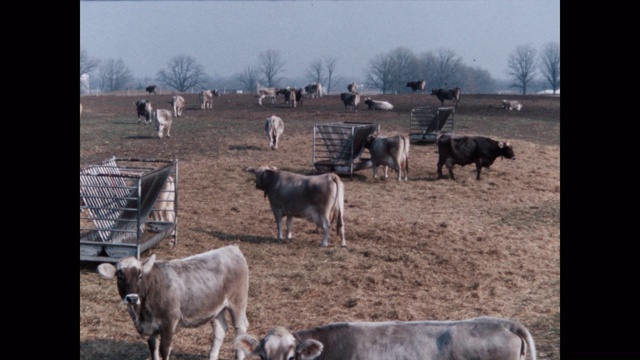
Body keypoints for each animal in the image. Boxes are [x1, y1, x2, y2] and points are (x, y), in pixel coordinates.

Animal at [97, 246, 250, 360]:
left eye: (140, 275)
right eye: (120, 276)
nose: (132, 298)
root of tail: (232, 248)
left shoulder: (169, 321)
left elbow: (164, 350)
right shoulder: (150, 327)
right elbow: (153, 348)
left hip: (238, 301)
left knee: (240, 329)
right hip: (216, 308)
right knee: (220, 330)